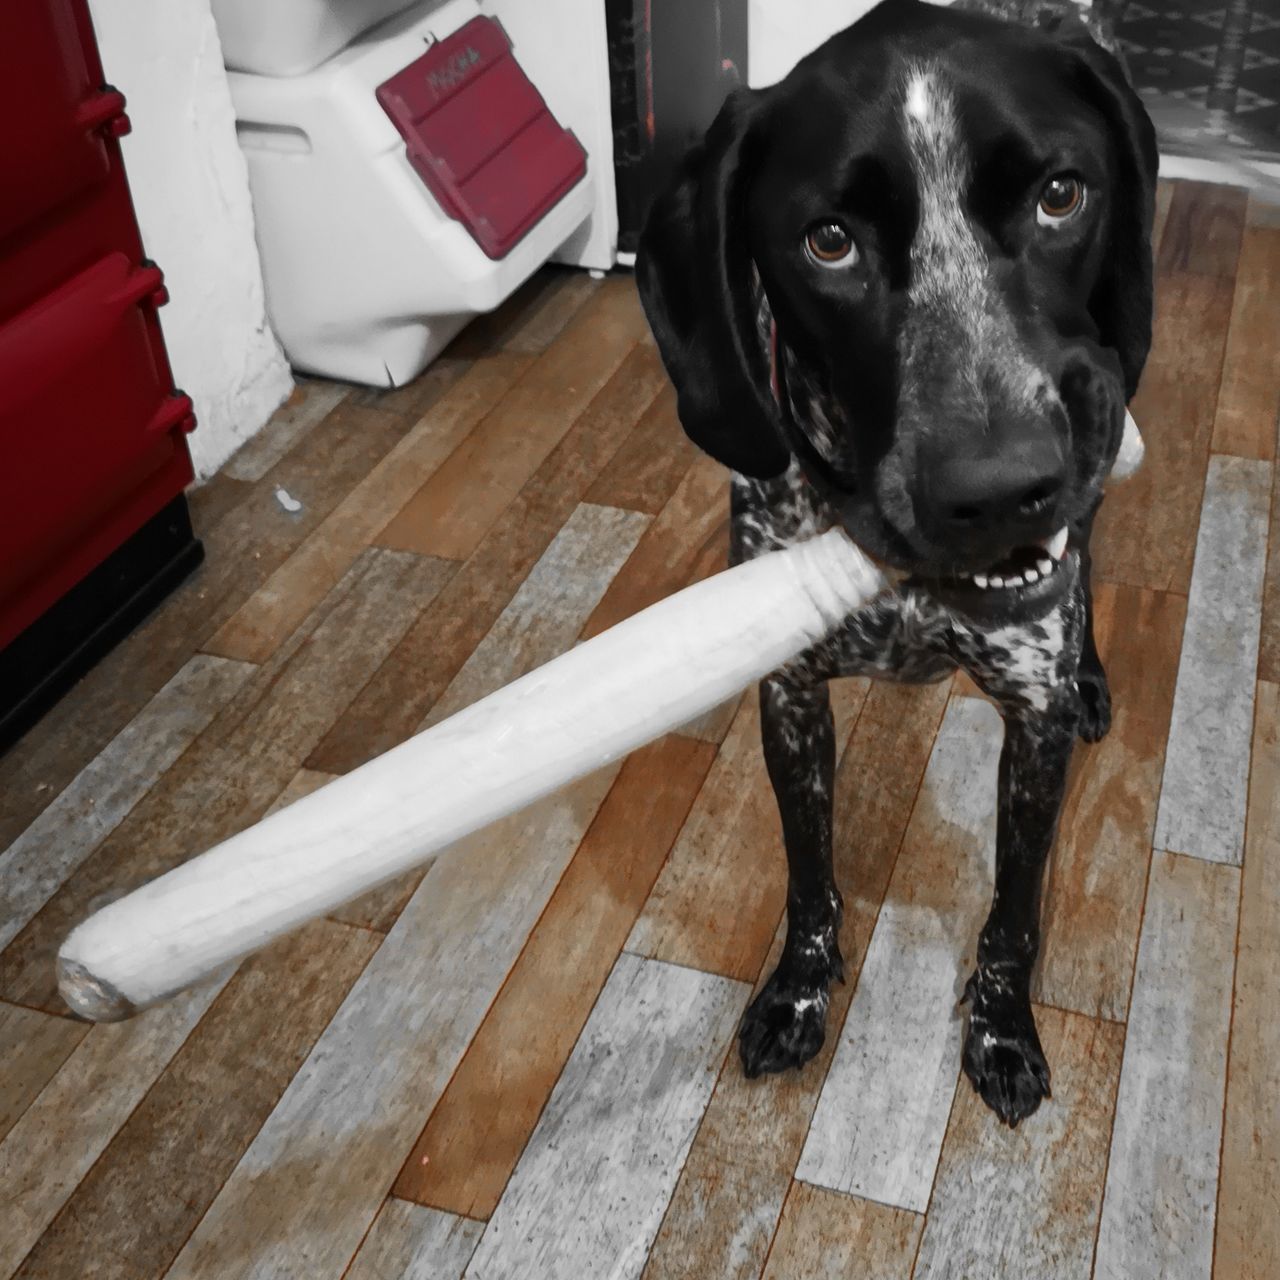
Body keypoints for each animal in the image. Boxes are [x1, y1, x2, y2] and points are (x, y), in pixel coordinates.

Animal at [640, 0, 1162, 1126]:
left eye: (1061, 195)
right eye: (828, 243)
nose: (999, 489)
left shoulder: (1032, 726)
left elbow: (1014, 913)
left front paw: (1002, 1027)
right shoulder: (790, 701)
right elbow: (808, 875)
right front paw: (798, 988)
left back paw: (1094, 672)